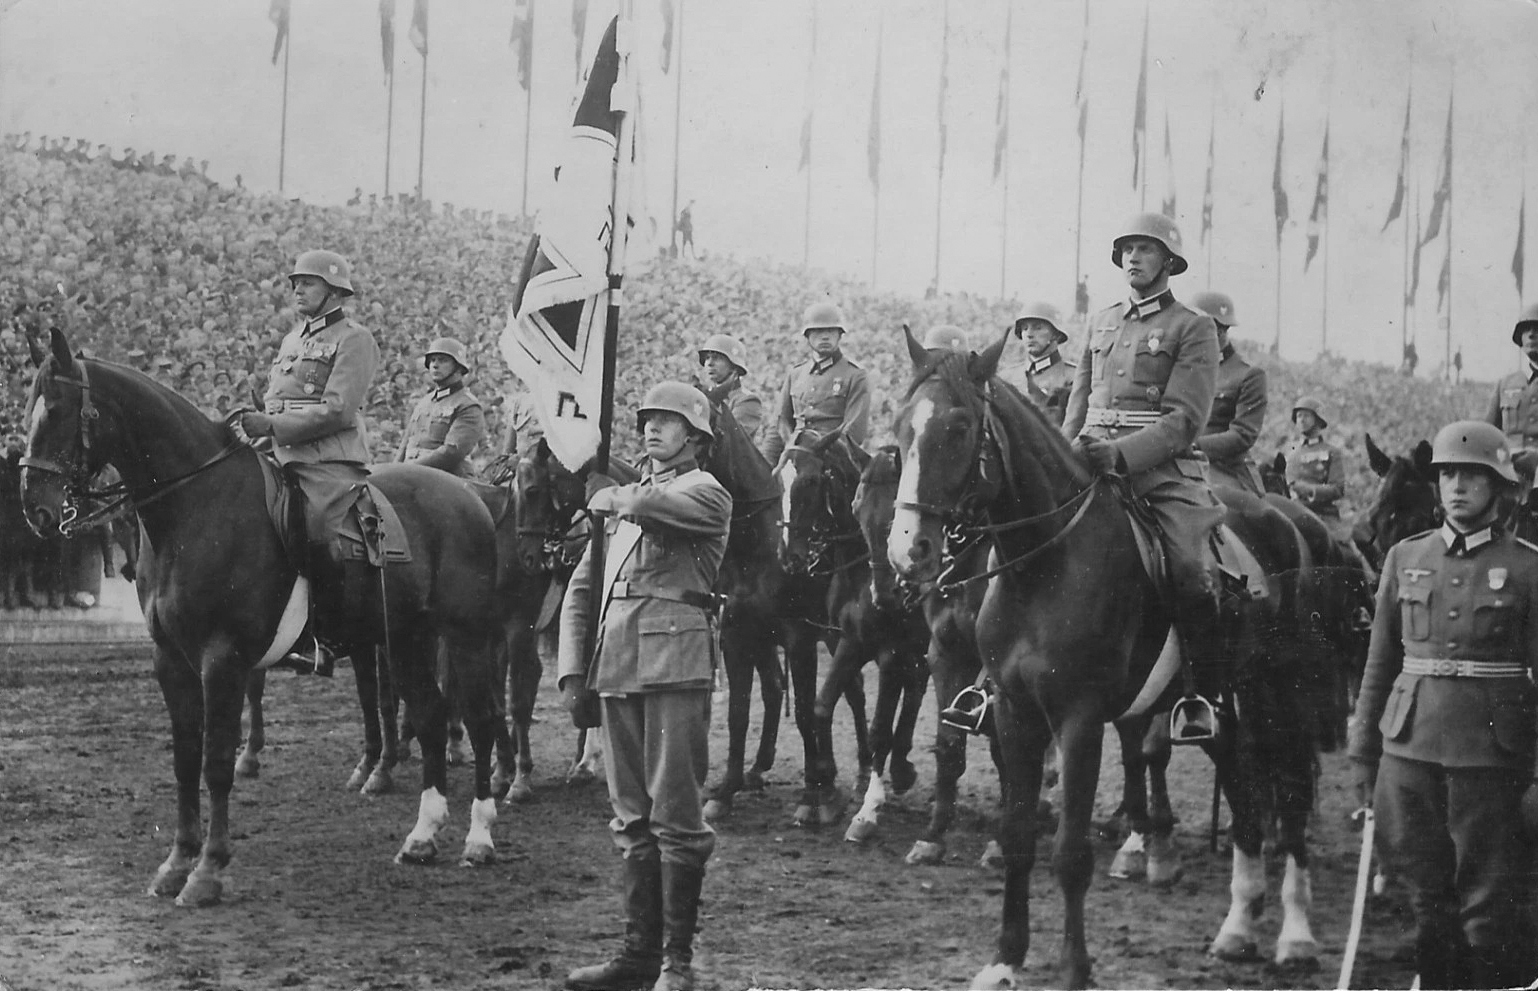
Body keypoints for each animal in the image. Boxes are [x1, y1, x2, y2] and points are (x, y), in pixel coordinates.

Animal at [20, 327, 504, 907]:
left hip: (467, 636)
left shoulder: (222, 659)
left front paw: (207, 871)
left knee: (481, 720)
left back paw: (479, 838)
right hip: (406, 637)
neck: (196, 506)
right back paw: (423, 836)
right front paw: (175, 864)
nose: (34, 508)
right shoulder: (171, 660)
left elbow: (216, 763)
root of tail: (470, 497)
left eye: (57, 409)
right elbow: (185, 761)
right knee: (430, 716)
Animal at [790, 443, 930, 842]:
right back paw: (902, 767)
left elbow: (880, 728)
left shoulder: (890, 652)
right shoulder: (850, 642)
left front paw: (867, 811)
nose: (793, 557)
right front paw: (824, 792)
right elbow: (822, 706)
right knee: (918, 682)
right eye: (856, 507)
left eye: (812, 483)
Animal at [886, 331, 1330, 988]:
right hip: (1224, 702)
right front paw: (1005, 959)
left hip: (1283, 696)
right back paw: (1237, 929)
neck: (1044, 566)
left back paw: (1296, 936)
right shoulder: (1015, 713)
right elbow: (1016, 835)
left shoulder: (1080, 720)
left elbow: (1070, 852)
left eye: (960, 427)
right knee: (1244, 791)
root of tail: (1286, 521)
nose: (908, 549)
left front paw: (1074, 967)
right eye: (899, 426)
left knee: (1292, 795)